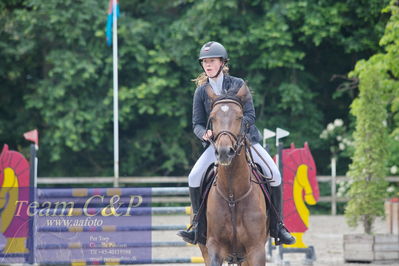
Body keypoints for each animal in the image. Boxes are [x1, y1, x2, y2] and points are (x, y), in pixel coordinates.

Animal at [200, 85, 268, 266]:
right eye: (212, 117)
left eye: (240, 117)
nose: (224, 152)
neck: (232, 196)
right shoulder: (214, 246)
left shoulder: (256, 250)